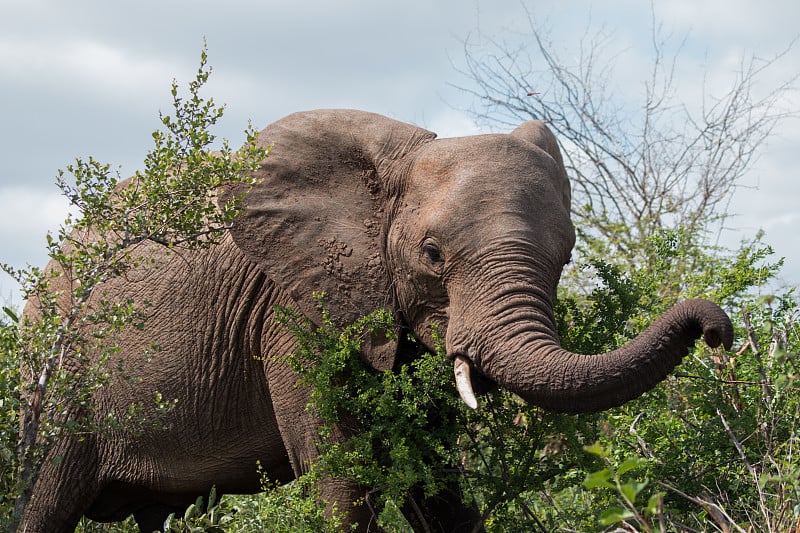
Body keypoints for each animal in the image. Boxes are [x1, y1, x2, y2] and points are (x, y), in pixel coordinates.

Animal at [17, 107, 732, 528]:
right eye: (432, 253)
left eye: (569, 255)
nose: (717, 330)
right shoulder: (290, 305)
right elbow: (344, 478)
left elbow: (436, 479)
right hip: (53, 376)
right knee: (45, 499)